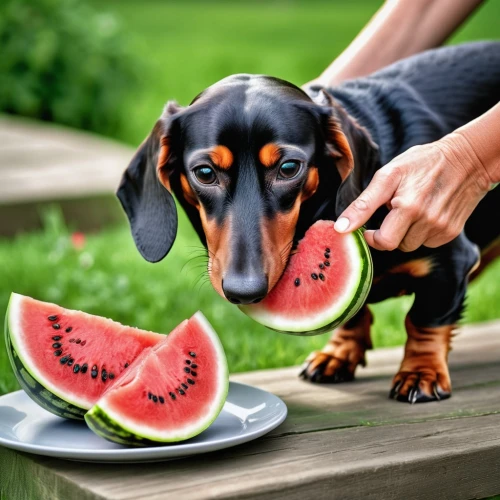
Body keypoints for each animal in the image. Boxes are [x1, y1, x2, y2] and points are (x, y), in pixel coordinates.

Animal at [116, 42, 500, 402]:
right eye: (205, 173)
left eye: (288, 168)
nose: (244, 290)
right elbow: (353, 313)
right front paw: (339, 353)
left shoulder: (452, 260)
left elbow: (424, 319)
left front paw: (421, 372)